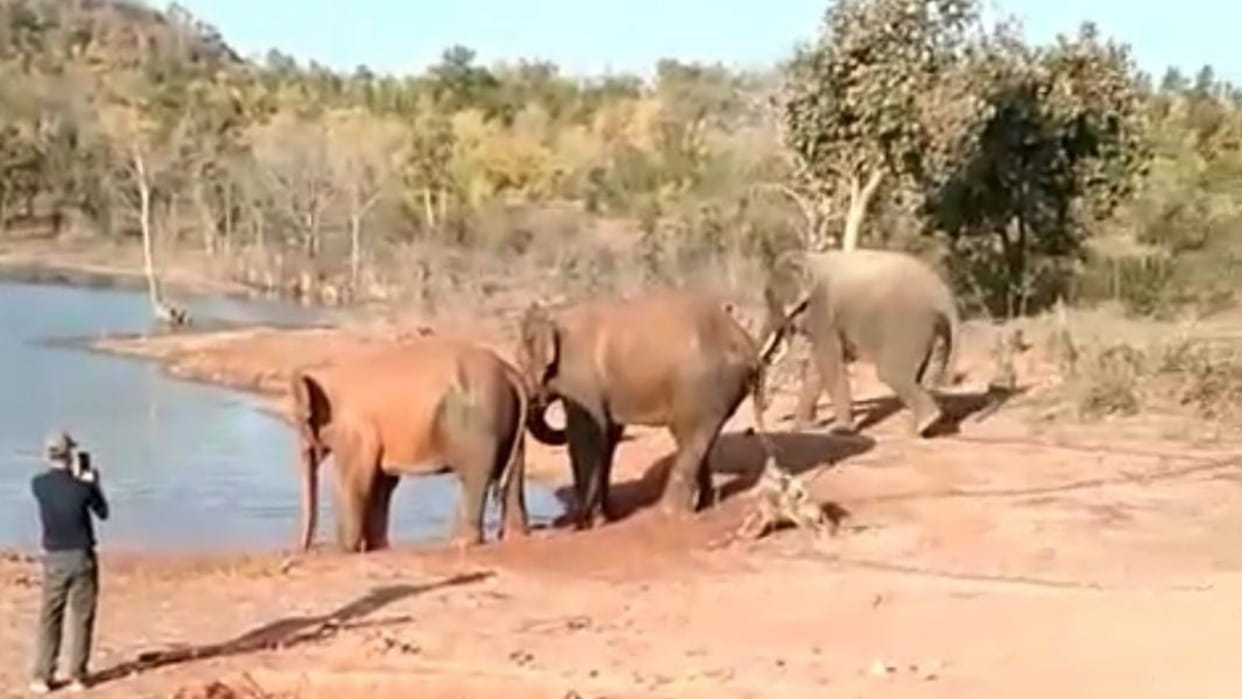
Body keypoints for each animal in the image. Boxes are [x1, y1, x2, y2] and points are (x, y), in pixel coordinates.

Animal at [288, 338, 533, 553]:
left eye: (301, 421)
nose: (305, 550)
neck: (330, 369)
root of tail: (510, 373)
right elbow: (383, 482)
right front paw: (377, 547)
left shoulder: (357, 430)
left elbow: (355, 481)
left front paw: (346, 550)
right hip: (510, 427)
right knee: (513, 478)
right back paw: (514, 537)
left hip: (479, 427)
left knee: (474, 476)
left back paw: (460, 543)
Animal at [514, 290, 775, 527]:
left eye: (520, 362)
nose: (535, 399)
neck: (555, 316)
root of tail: (750, 347)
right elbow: (608, 435)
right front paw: (603, 519)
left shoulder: (581, 378)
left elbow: (587, 435)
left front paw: (584, 524)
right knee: (697, 440)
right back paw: (702, 507)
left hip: (702, 386)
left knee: (689, 436)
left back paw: (667, 515)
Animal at [759, 248, 960, 438]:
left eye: (771, 300)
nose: (765, 406)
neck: (809, 259)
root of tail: (943, 295)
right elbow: (817, 367)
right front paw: (802, 429)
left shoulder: (824, 310)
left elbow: (828, 361)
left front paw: (839, 430)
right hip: (935, 329)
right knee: (925, 374)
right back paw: (927, 426)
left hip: (910, 323)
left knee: (890, 372)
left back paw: (927, 423)